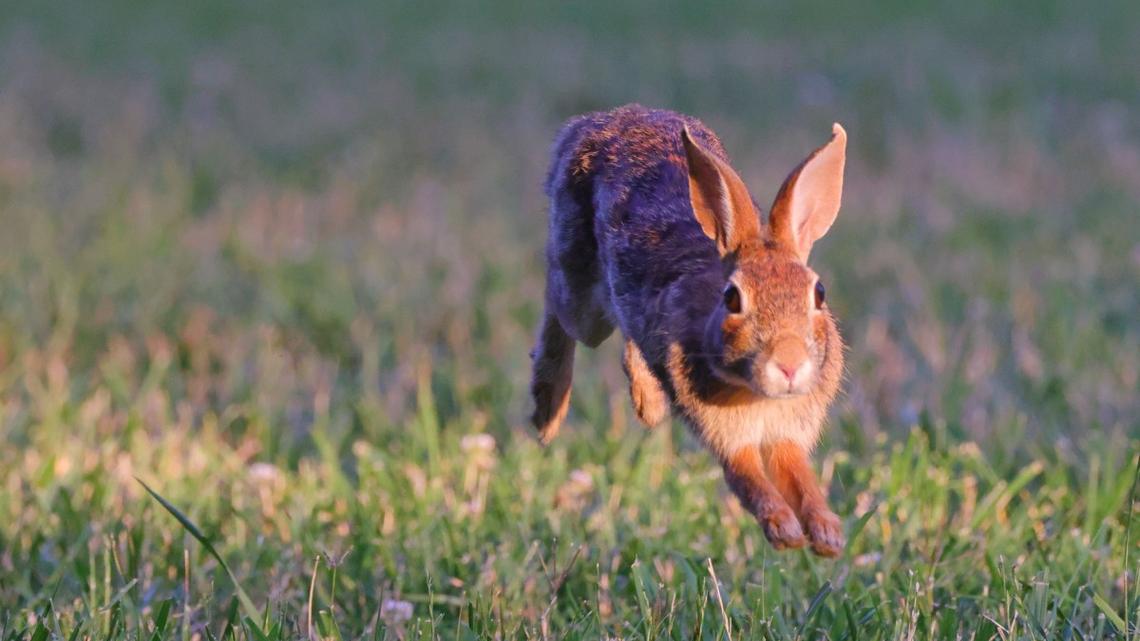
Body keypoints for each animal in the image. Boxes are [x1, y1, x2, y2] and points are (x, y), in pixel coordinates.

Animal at [529, 104, 847, 557]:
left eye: (819, 293)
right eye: (732, 298)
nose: (788, 364)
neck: (758, 394)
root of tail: (595, 121)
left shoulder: (787, 433)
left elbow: (801, 479)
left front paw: (826, 536)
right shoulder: (730, 437)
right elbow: (749, 479)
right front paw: (784, 530)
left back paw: (647, 405)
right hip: (582, 298)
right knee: (558, 305)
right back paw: (547, 413)